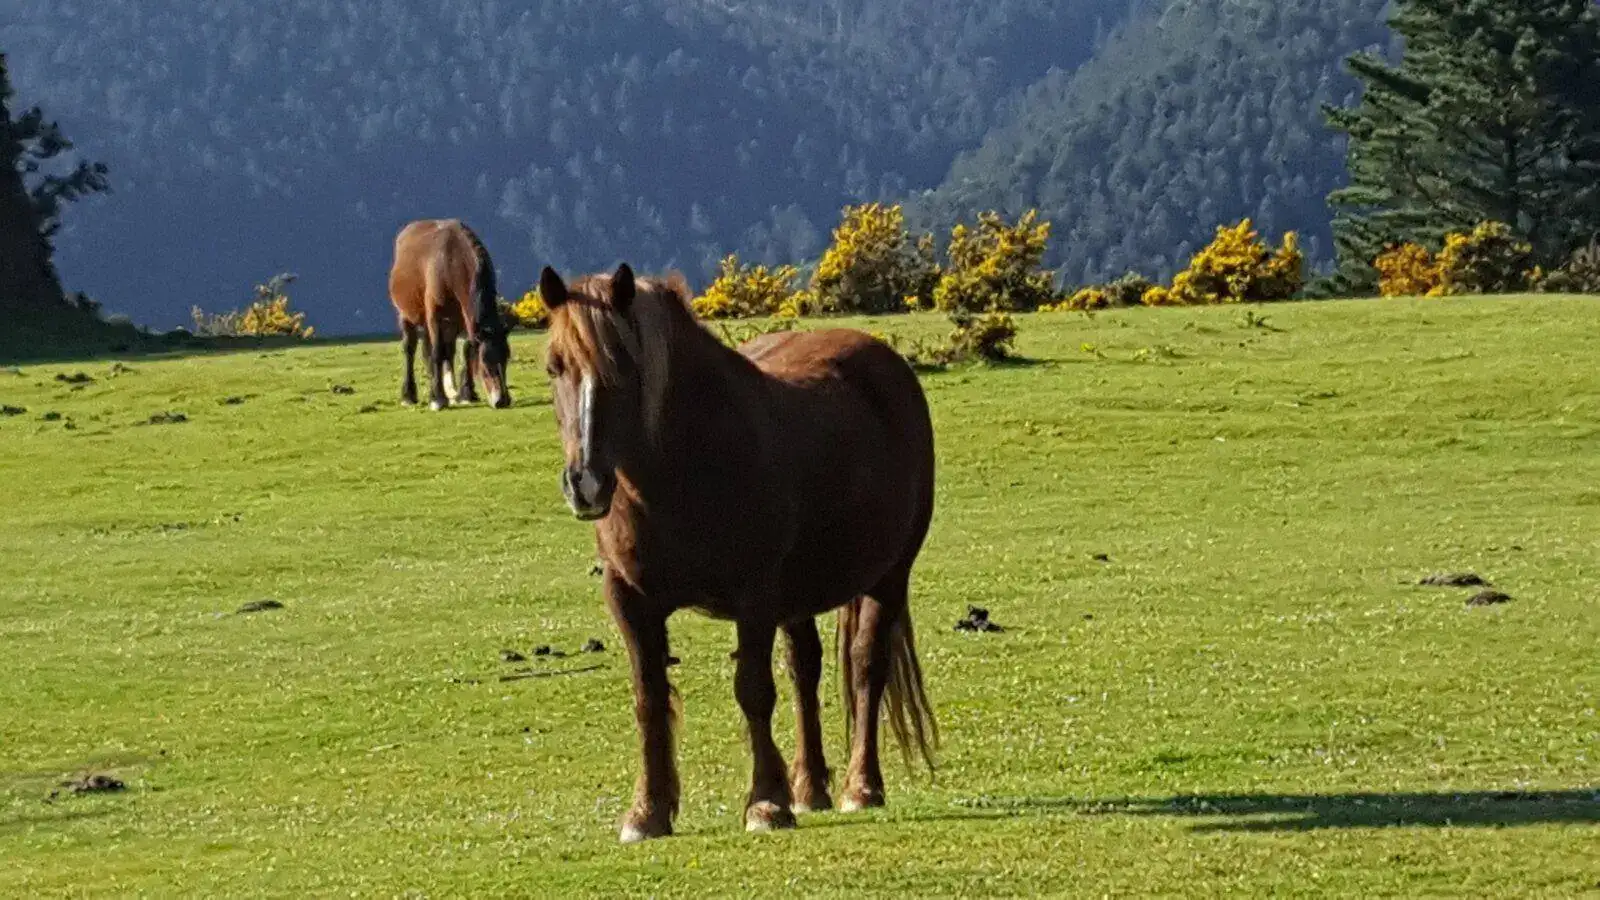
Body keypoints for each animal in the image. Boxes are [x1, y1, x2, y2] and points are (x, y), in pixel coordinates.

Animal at [387, 219, 512, 410]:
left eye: (506, 357)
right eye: (485, 361)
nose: (502, 400)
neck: (450, 263)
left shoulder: (465, 320)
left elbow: (466, 351)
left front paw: (467, 393)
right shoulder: (436, 317)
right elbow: (437, 352)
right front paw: (438, 398)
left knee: (446, 351)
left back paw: (451, 390)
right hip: (407, 315)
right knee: (411, 349)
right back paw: (409, 395)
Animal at [538, 262, 938, 843]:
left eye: (623, 368)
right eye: (554, 367)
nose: (585, 484)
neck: (684, 468)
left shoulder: (754, 600)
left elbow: (753, 691)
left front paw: (766, 803)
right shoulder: (629, 598)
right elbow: (649, 696)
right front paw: (647, 812)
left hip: (888, 576)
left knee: (867, 665)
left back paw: (860, 788)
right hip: (798, 597)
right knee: (805, 670)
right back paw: (810, 788)